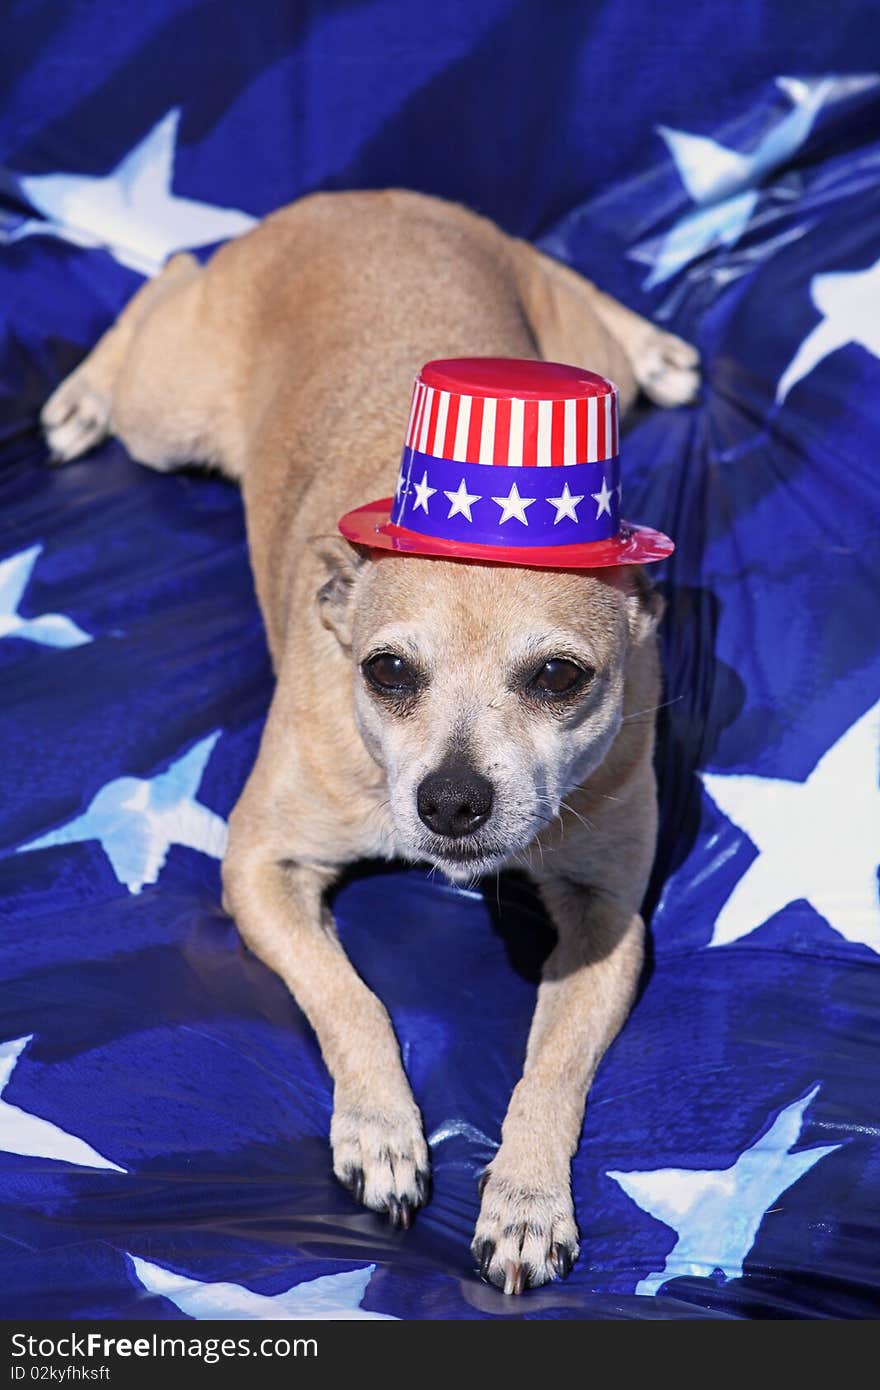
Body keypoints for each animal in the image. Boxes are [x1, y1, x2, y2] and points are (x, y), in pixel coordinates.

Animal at [42, 190, 700, 1295]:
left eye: (559, 677)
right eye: (387, 670)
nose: (452, 800)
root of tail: (362, 198)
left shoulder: (606, 921)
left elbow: (551, 1067)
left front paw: (526, 1197)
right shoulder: (259, 868)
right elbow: (351, 1002)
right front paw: (383, 1129)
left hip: (574, 346)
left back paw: (656, 347)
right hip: (167, 412)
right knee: (167, 276)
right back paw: (79, 394)